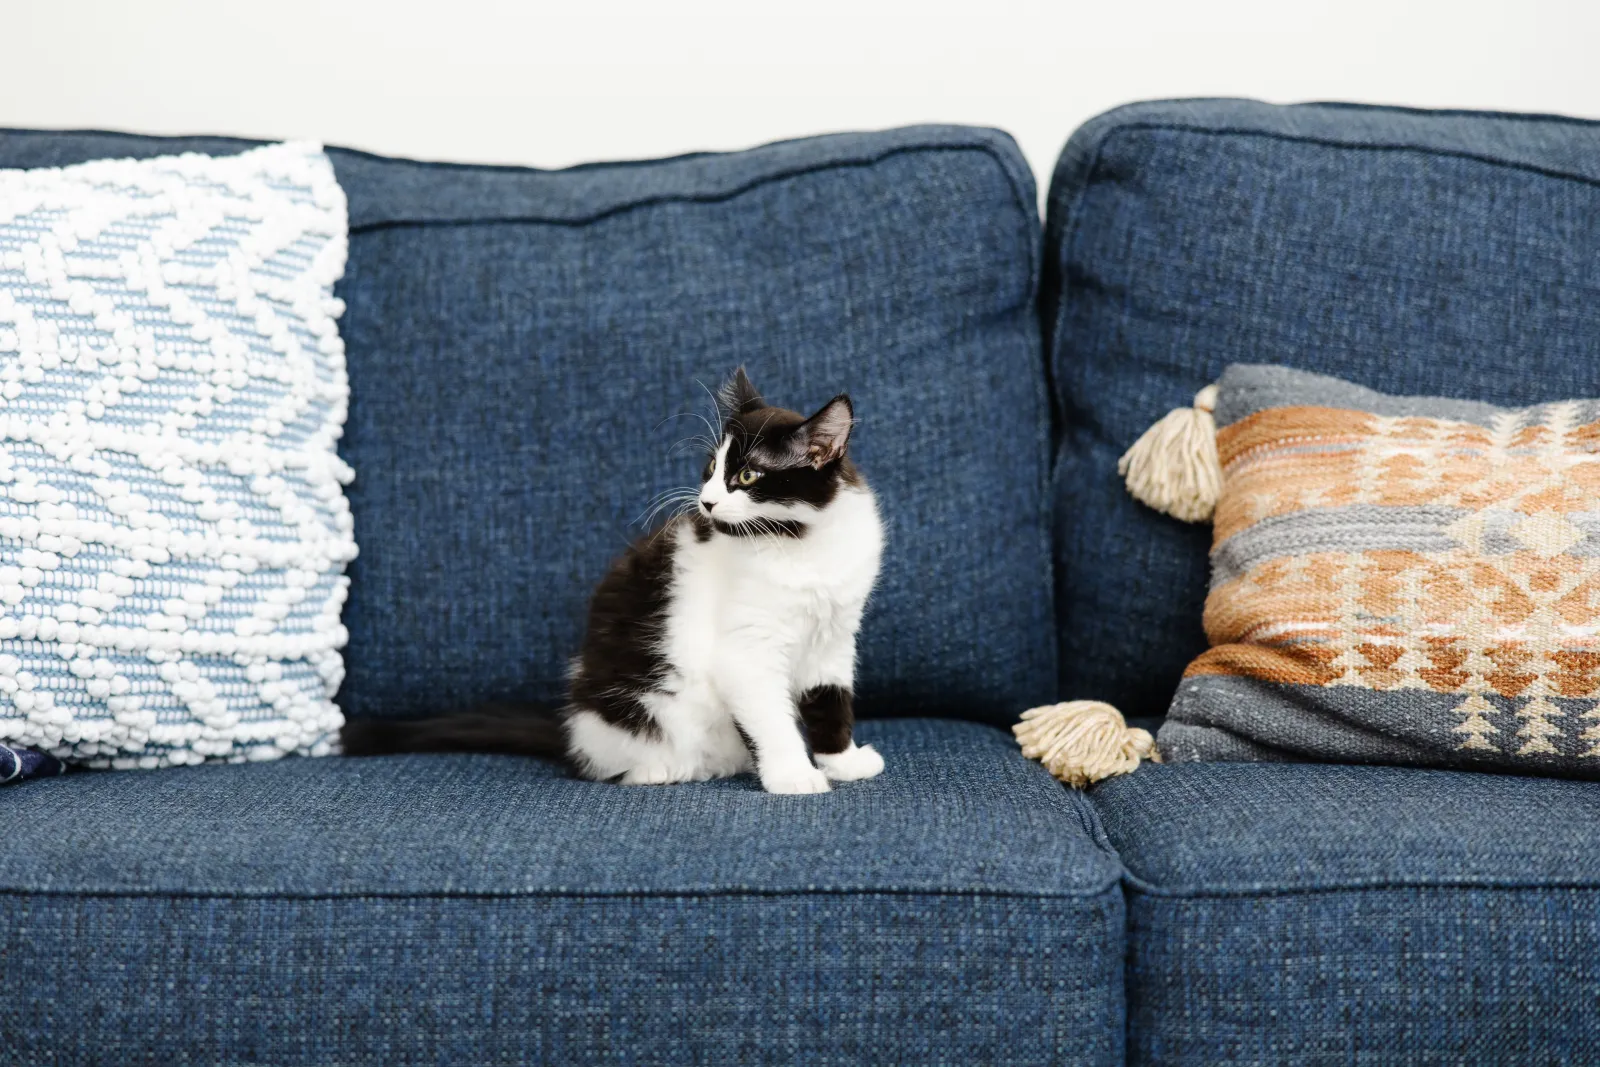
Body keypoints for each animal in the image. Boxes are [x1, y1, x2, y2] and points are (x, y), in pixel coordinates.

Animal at [344, 369, 889, 793]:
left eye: (749, 476)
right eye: (711, 468)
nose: (707, 501)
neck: (799, 542)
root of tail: (572, 733)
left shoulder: (834, 637)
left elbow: (831, 702)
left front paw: (843, 762)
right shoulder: (746, 650)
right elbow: (772, 719)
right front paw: (794, 776)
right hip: (637, 714)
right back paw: (661, 769)